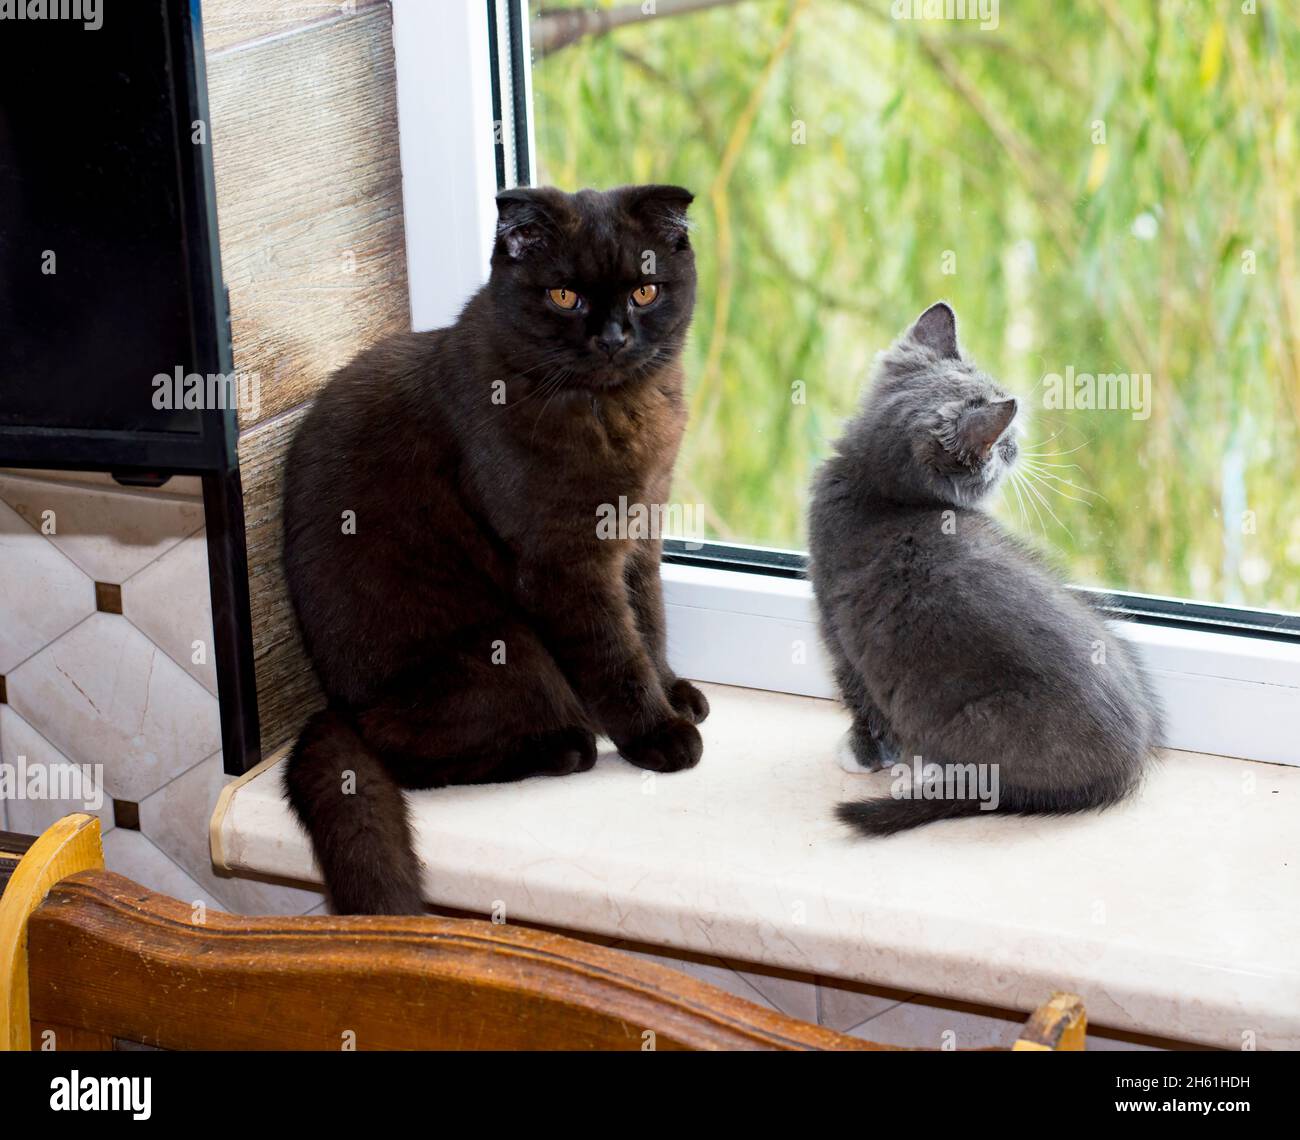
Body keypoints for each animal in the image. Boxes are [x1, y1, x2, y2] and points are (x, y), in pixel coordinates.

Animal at [806, 302, 1164, 837]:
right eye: (1006, 439)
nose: (1020, 443)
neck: (882, 493)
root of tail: (1123, 770)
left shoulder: (841, 636)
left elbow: (862, 703)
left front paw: (861, 754)